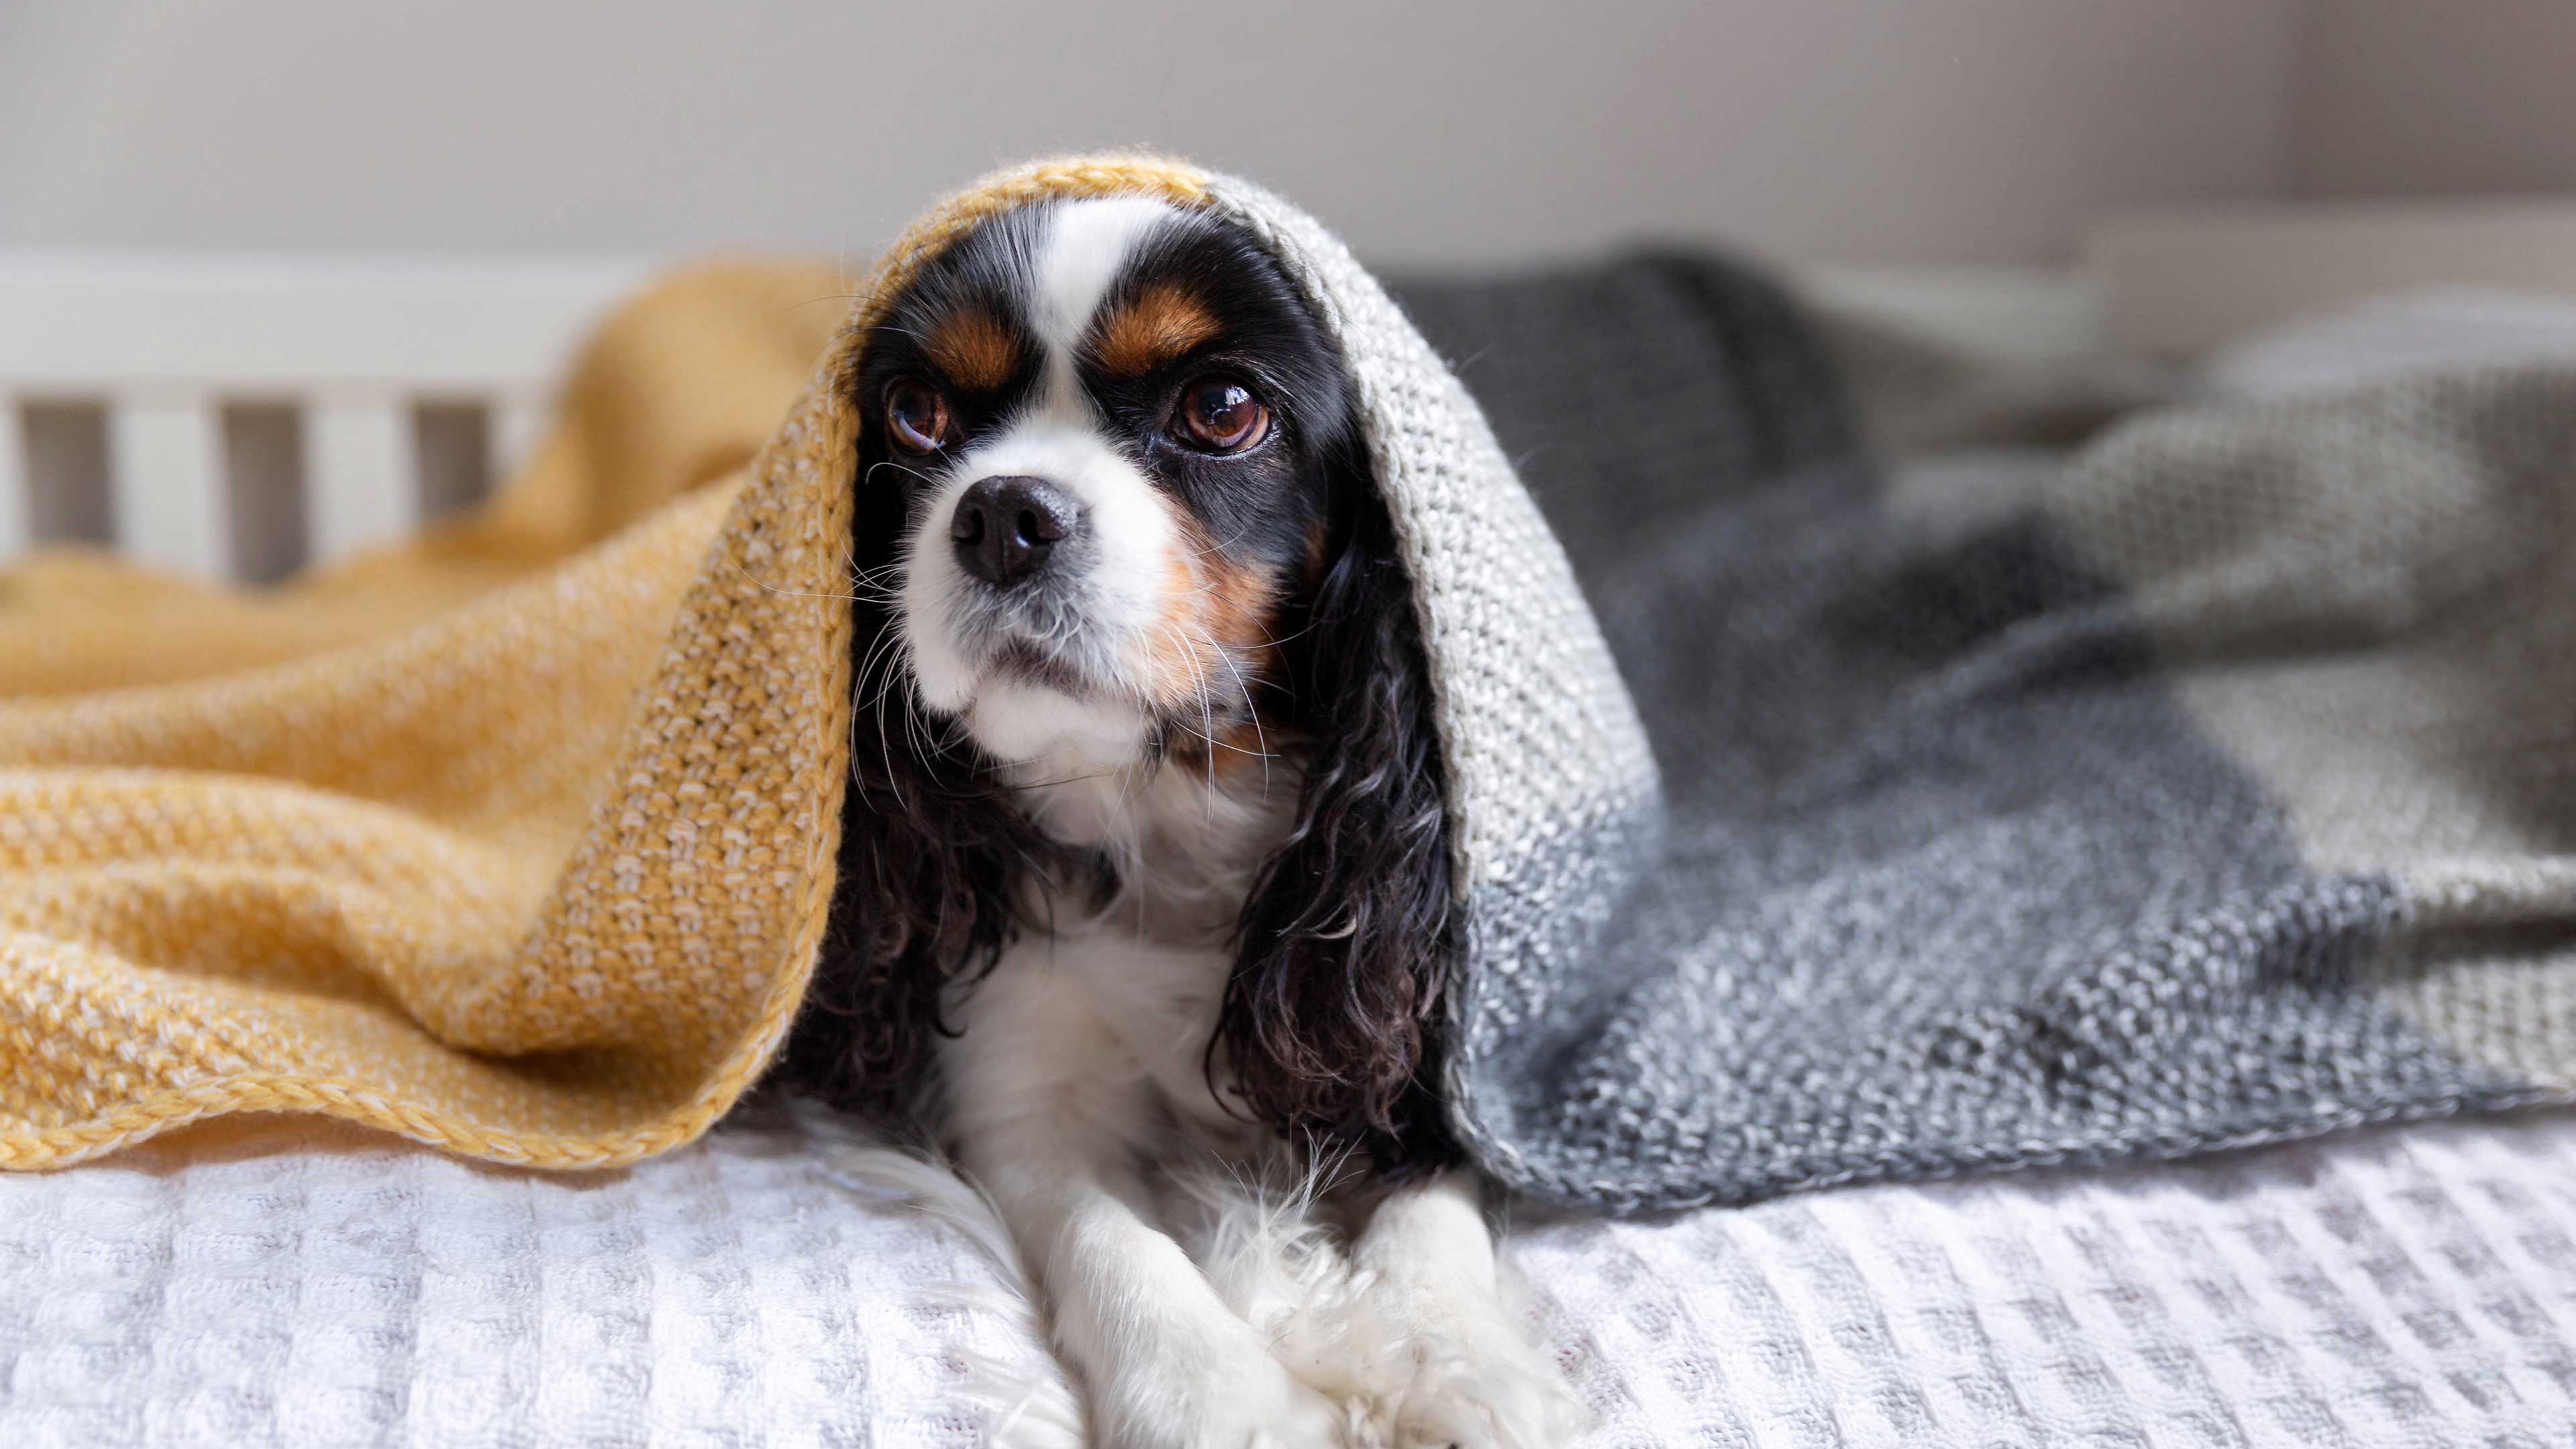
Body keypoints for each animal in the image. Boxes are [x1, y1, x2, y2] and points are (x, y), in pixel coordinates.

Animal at [777, 195, 1587, 1444]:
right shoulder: (1024, 1098)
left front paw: (1450, 1360)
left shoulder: (1439, 1049)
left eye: (1221, 409)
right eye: (917, 415)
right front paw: (1218, 1396)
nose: (1003, 513)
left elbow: (1431, 1198)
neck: (1162, 806)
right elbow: (1112, 1237)